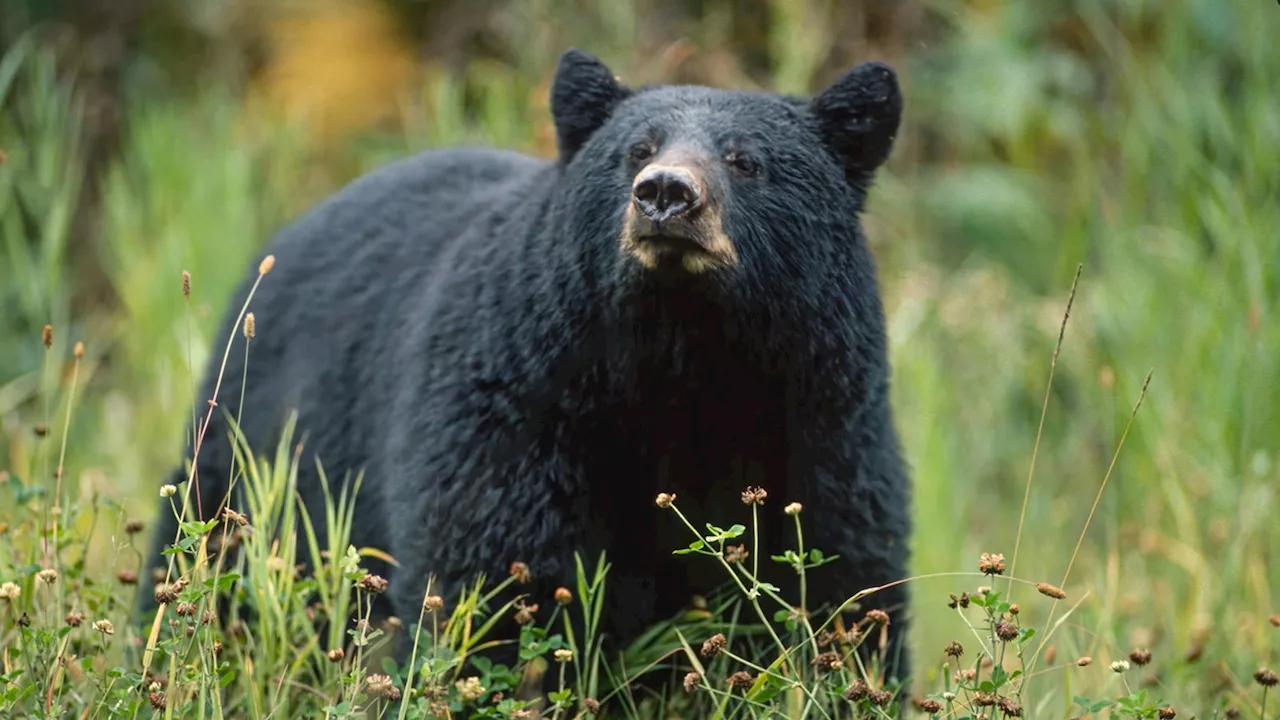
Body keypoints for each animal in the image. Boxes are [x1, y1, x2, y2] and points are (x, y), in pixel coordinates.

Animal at [145, 46, 916, 681]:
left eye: (744, 159)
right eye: (635, 150)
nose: (666, 193)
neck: (678, 359)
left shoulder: (822, 420)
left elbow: (840, 580)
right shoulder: (519, 406)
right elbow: (496, 589)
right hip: (254, 451)